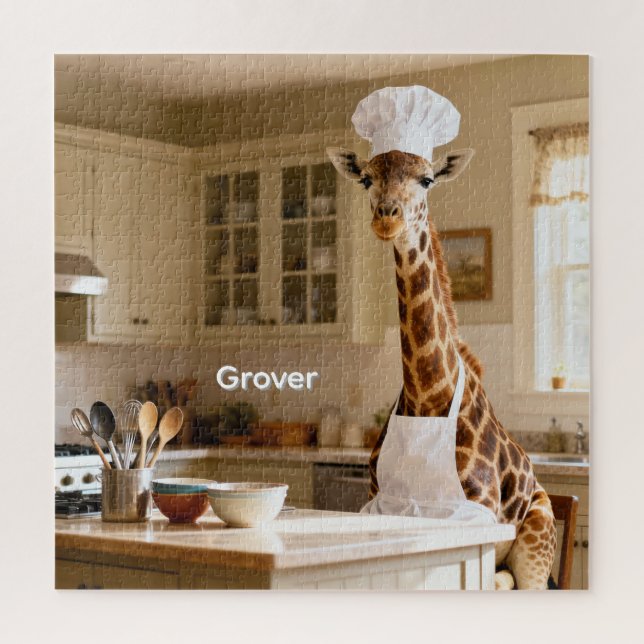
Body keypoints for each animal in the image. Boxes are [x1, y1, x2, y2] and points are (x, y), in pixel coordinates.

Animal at [328, 147, 557, 590]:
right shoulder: (381, 504)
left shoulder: (475, 518)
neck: (427, 397)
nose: (387, 217)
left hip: (537, 547)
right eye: (366, 179)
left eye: (427, 179)